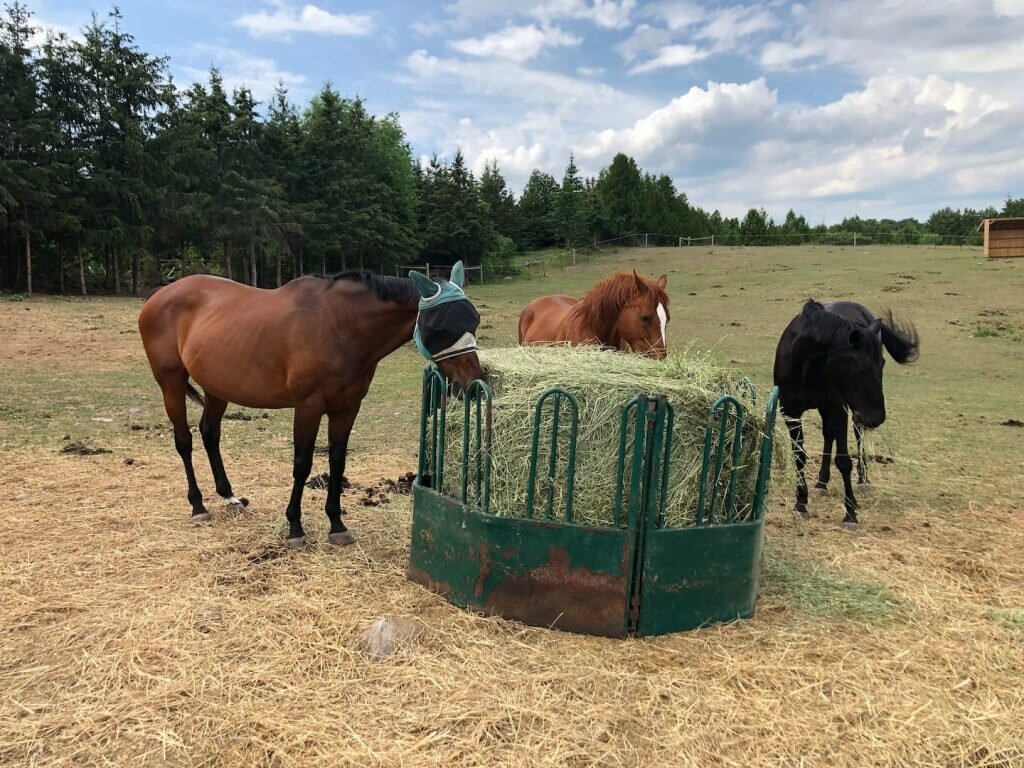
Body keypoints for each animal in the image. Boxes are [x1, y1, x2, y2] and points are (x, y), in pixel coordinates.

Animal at [138, 261, 483, 548]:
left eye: (474, 320)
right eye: (440, 327)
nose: (473, 385)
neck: (340, 325)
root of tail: (159, 295)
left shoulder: (347, 408)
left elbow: (337, 462)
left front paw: (337, 525)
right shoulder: (308, 407)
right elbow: (302, 465)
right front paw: (295, 528)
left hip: (217, 387)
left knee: (210, 434)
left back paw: (229, 496)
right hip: (170, 384)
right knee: (184, 441)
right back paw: (197, 505)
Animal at [773, 299, 920, 530]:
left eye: (882, 364)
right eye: (861, 368)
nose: (877, 417)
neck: (806, 365)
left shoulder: (836, 409)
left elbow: (843, 461)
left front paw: (850, 513)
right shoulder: (790, 412)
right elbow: (799, 456)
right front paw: (801, 503)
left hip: (850, 411)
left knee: (856, 433)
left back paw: (863, 479)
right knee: (828, 436)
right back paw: (821, 482)